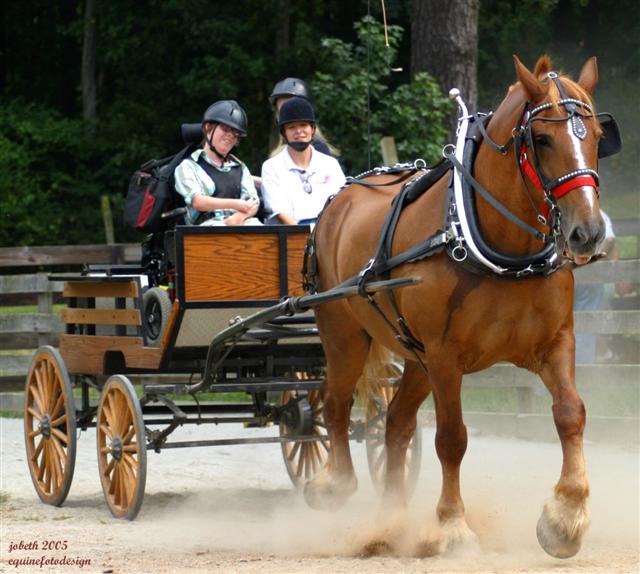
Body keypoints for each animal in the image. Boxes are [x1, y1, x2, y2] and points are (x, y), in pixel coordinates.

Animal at [308, 56, 616, 560]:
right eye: (542, 139)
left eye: (596, 134)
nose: (587, 232)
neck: (499, 248)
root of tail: (343, 195)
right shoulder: (446, 358)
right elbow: (452, 439)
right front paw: (452, 526)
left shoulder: (555, 343)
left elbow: (571, 412)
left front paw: (565, 517)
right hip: (345, 333)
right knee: (335, 405)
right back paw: (335, 483)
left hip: (415, 358)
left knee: (395, 425)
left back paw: (391, 521)